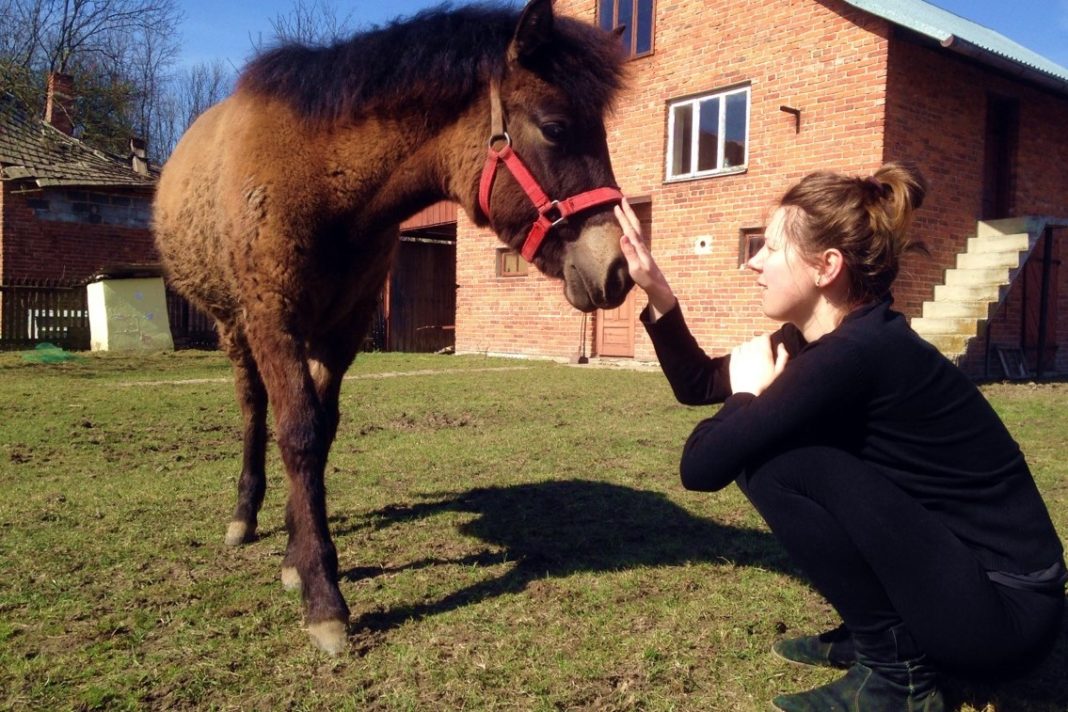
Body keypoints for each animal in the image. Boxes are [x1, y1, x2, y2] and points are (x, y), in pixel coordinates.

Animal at [153, 0, 631, 653]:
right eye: (556, 128)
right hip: (233, 326)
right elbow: (297, 433)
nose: (616, 271)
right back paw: (244, 515)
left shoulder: (344, 328)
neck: (318, 177)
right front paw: (322, 596)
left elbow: (321, 433)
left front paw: (297, 556)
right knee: (254, 409)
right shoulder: (273, 320)